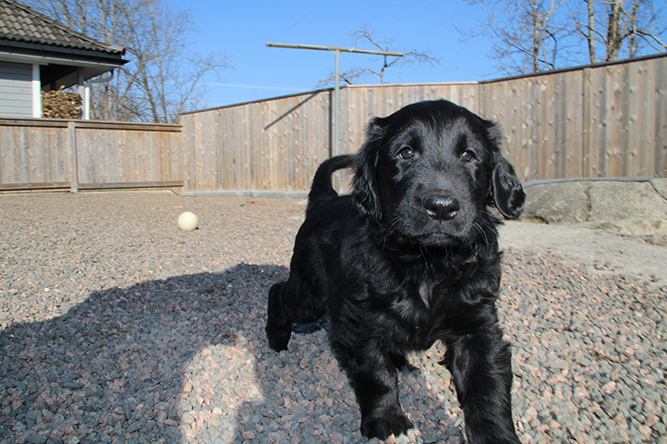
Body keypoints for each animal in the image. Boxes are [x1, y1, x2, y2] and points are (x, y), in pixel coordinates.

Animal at [266, 100, 525, 443]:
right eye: (405, 153)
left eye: (469, 155)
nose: (442, 207)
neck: (427, 263)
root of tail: (325, 201)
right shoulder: (360, 319)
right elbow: (377, 375)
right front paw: (388, 423)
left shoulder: (478, 323)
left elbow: (487, 386)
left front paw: (496, 435)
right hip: (309, 295)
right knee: (279, 291)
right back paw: (277, 336)